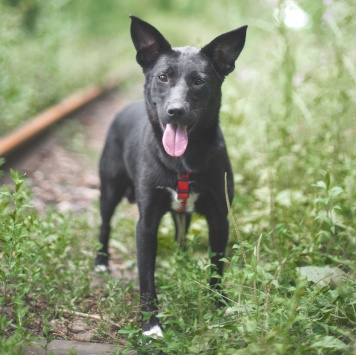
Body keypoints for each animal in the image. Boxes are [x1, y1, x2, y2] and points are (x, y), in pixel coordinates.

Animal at [94, 16, 246, 338]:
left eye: (199, 81)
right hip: (109, 189)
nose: (175, 111)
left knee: (181, 227)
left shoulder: (220, 218)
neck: (183, 160)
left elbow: (217, 267)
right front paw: (150, 324)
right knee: (104, 224)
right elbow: (146, 279)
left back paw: (182, 257)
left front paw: (219, 305)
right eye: (163, 77)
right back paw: (100, 262)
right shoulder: (146, 223)